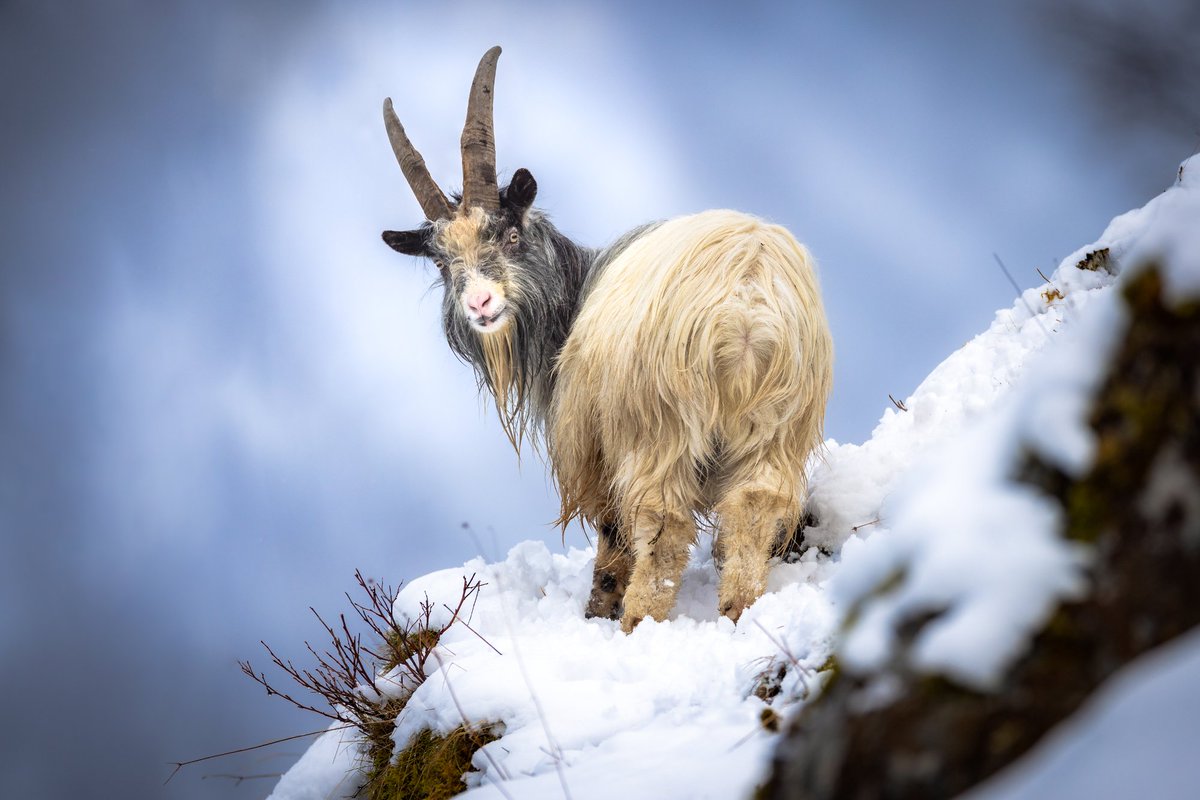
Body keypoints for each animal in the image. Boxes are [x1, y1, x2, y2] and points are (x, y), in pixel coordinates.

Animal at [381, 47, 833, 632]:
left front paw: (596, 611)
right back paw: (739, 614)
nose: (479, 303)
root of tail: (745, 299)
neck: (577, 293)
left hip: (659, 429)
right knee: (754, 508)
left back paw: (638, 625)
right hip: (776, 428)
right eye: (442, 263)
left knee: (664, 528)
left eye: (510, 233)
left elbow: (611, 538)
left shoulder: (593, 445)